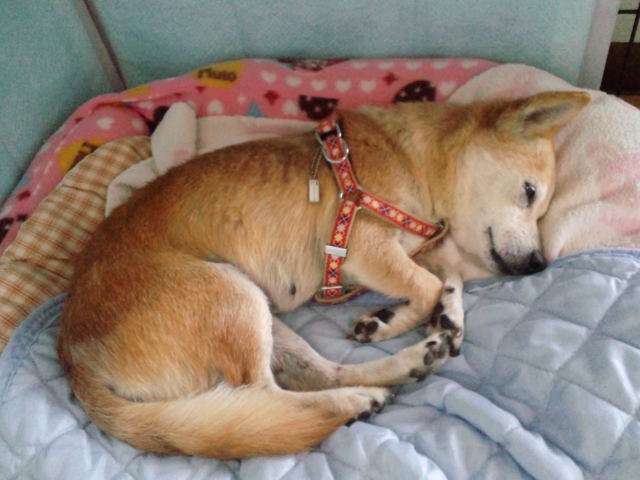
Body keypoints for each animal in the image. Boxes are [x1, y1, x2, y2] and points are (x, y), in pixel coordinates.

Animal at [57, 90, 589, 459]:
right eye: (529, 193)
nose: (539, 264)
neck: (415, 161)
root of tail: (73, 359)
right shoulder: (365, 251)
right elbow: (429, 282)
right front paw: (403, 319)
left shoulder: (413, 251)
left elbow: (447, 275)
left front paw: (432, 319)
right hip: (231, 296)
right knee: (265, 398)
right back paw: (356, 400)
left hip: (262, 314)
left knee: (316, 375)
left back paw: (401, 367)